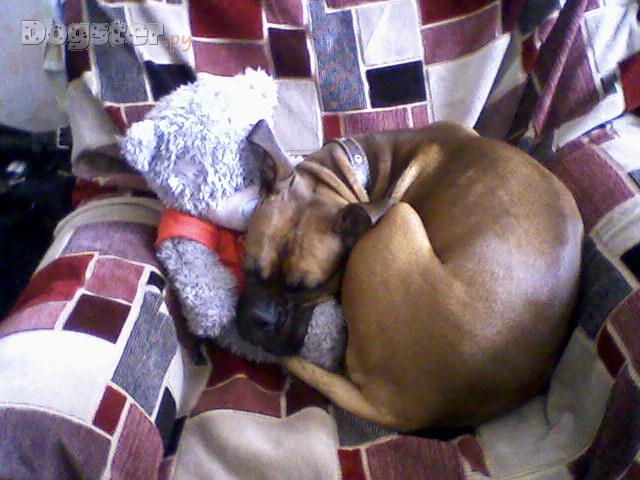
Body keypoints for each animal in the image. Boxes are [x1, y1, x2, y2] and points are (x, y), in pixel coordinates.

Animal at [236, 120, 583, 431]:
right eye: (249, 268)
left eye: (310, 287)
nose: (260, 319)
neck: (353, 169)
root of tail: (403, 410)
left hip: (400, 215)